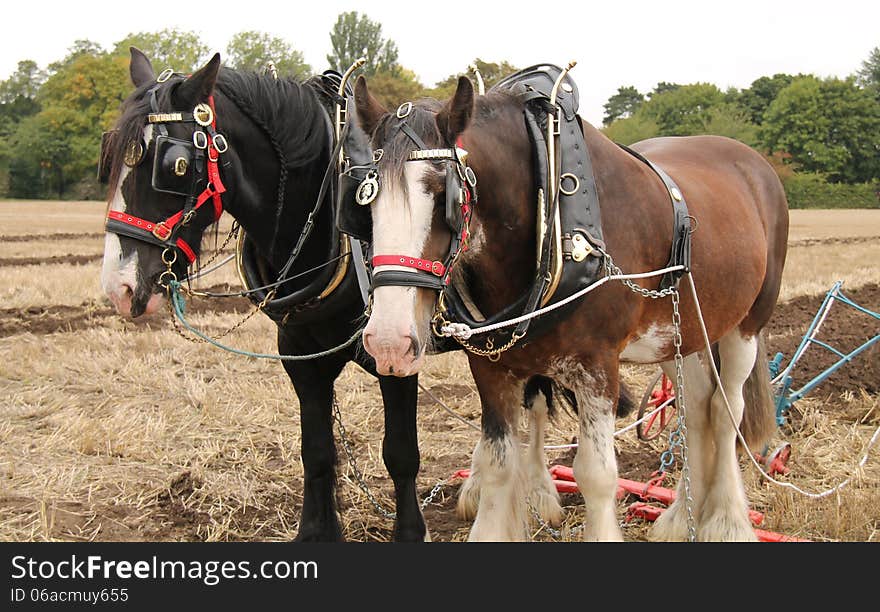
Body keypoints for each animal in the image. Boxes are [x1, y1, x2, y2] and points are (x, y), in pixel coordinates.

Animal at [99, 50, 426, 544]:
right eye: (111, 155)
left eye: (175, 165)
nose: (118, 288)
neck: (329, 221)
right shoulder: (298, 353)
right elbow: (317, 450)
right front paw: (315, 531)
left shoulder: (397, 349)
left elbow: (401, 453)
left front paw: (409, 534)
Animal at [354, 74, 788, 544]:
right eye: (365, 200)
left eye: (443, 195)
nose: (389, 343)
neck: (551, 218)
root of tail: (754, 163)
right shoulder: (490, 368)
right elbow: (497, 463)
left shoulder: (598, 366)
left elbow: (596, 474)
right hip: (680, 332)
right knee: (695, 410)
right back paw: (681, 518)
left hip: (746, 324)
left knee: (727, 414)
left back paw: (727, 520)